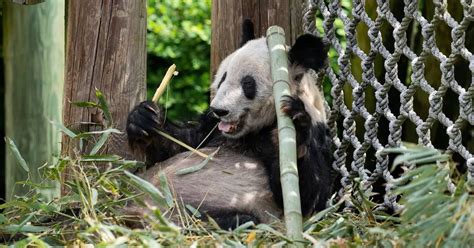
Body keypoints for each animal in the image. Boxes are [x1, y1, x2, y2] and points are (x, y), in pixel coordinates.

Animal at [126, 20, 334, 230]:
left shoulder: (318, 135)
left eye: (248, 83)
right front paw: (144, 118)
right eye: (223, 77)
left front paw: (297, 129)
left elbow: (309, 196)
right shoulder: (211, 128)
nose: (219, 110)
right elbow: (181, 144)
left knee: (238, 220)